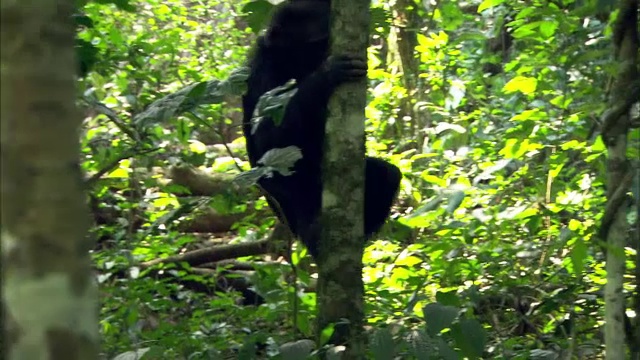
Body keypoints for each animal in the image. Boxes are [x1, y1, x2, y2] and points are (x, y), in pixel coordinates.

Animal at [242, 0, 402, 258]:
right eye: (314, 44)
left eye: (325, 42)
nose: (324, 54)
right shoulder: (262, 73)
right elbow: (268, 138)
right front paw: (326, 75)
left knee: (387, 174)